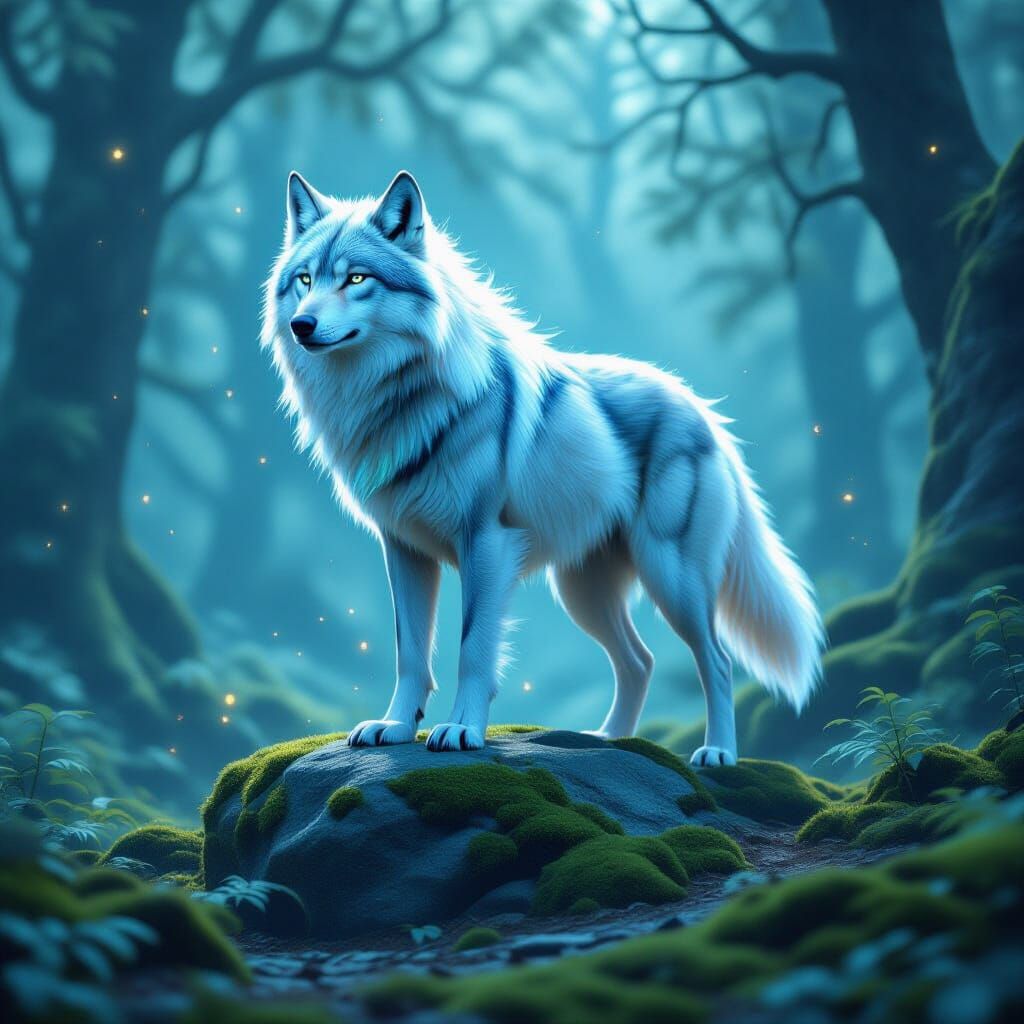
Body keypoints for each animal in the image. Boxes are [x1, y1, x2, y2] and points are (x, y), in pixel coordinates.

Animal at [261, 169, 824, 765]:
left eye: (356, 278)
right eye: (305, 279)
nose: (301, 325)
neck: (399, 399)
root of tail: (706, 413)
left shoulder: (486, 544)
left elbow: (473, 649)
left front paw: (461, 730)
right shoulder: (403, 550)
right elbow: (410, 652)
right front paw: (393, 726)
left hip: (672, 580)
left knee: (716, 660)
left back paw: (717, 753)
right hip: (583, 593)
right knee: (640, 660)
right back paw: (606, 739)